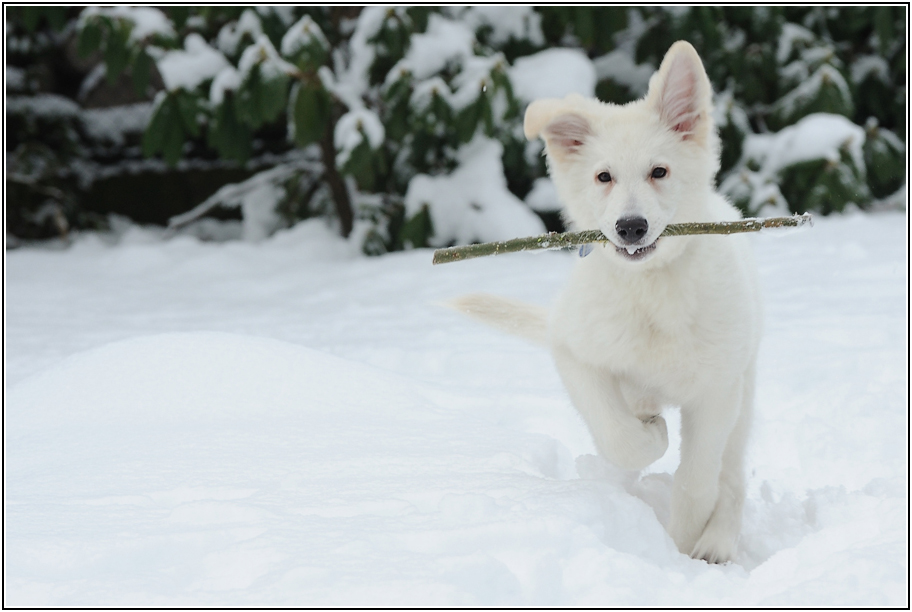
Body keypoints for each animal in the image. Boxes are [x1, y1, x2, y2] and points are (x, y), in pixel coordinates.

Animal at [454, 39, 764, 564]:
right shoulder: (574, 351)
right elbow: (619, 437)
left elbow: (697, 478)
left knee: (731, 471)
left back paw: (718, 539)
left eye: (659, 172)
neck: (650, 289)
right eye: (604, 177)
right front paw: (652, 435)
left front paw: (681, 548)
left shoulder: (717, 389)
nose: (630, 227)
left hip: (744, 381)